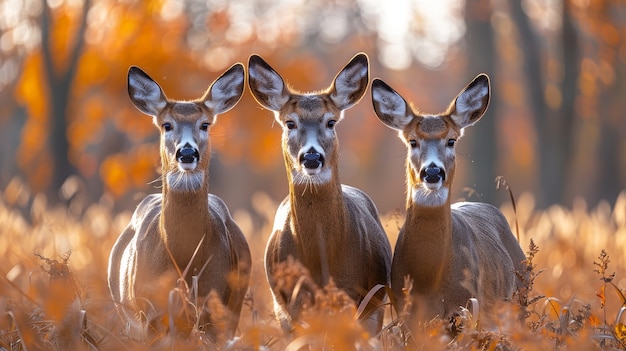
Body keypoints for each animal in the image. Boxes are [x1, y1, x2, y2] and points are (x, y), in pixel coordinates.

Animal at [107, 64, 251, 344]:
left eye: (205, 124)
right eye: (167, 125)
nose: (186, 153)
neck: (184, 256)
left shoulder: (214, 307)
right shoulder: (150, 312)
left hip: (234, 307)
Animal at [370, 73, 528, 332]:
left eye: (451, 141)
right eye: (413, 141)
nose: (433, 172)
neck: (430, 278)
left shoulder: (467, 307)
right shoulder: (408, 313)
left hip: (518, 300)